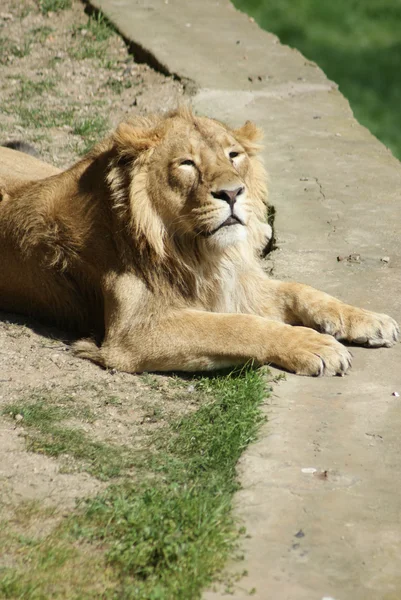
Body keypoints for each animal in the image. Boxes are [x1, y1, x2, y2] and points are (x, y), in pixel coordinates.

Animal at [0, 109, 396, 376]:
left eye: (233, 155)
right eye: (187, 163)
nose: (234, 193)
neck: (196, 251)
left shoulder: (238, 282)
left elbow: (301, 290)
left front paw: (370, 320)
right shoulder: (133, 333)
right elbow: (236, 326)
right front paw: (313, 345)